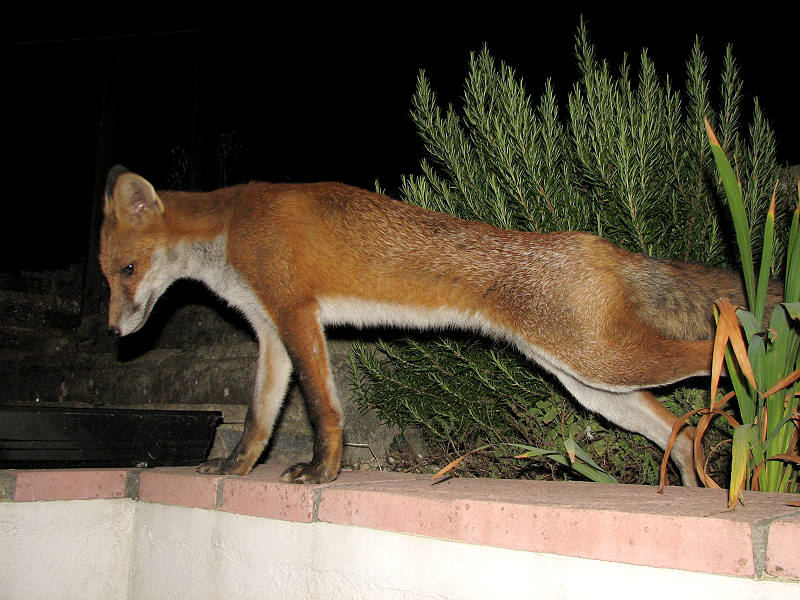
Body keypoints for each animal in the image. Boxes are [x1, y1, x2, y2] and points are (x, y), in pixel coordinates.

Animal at [100, 165, 782, 486]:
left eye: (128, 270)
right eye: (106, 276)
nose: (114, 333)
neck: (231, 227)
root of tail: (598, 245)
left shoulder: (296, 313)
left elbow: (322, 409)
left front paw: (322, 473)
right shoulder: (271, 335)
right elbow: (258, 420)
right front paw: (235, 470)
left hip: (602, 360)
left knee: (719, 343)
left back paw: (762, 375)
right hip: (593, 383)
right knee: (677, 432)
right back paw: (696, 476)